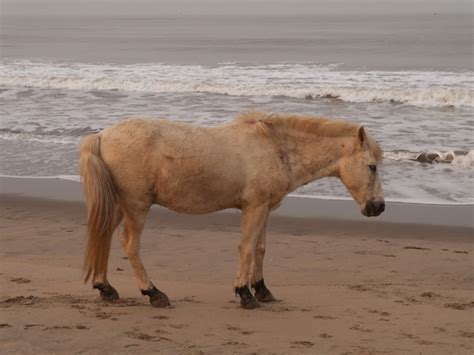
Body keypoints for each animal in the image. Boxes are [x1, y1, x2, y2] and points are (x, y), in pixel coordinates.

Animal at [79, 110, 384, 310]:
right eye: (372, 166)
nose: (378, 207)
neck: (275, 148)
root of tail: (102, 136)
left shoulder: (265, 209)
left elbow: (260, 248)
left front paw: (262, 290)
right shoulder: (254, 207)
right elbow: (247, 248)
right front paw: (245, 294)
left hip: (118, 206)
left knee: (103, 236)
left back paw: (106, 288)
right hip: (136, 206)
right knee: (130, 244)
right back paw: (153, 293)